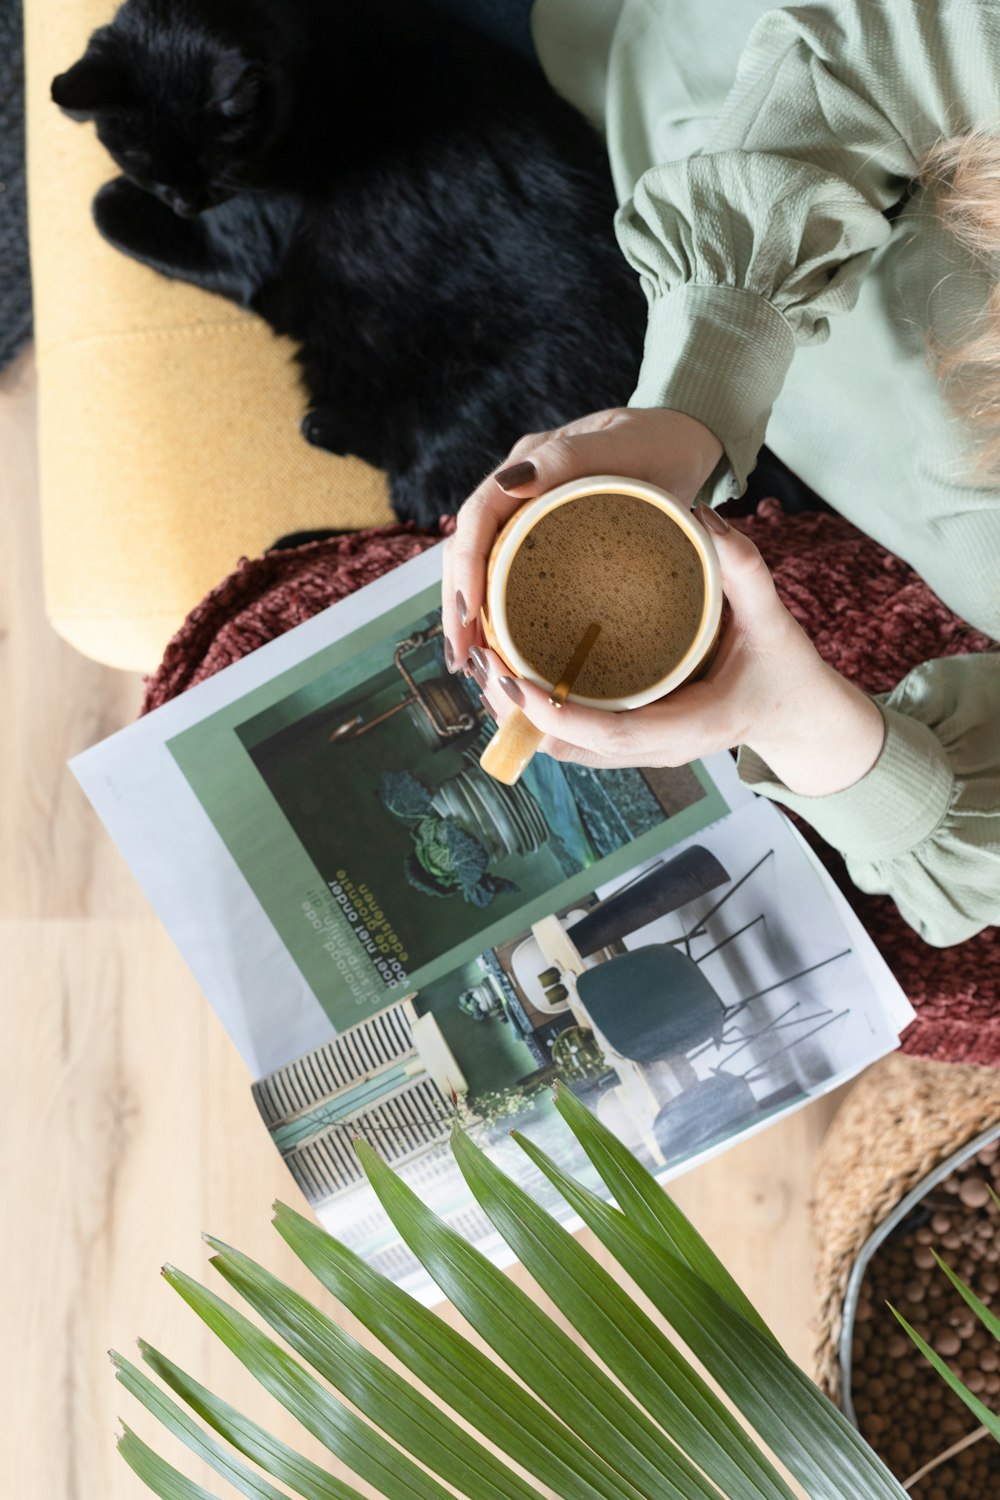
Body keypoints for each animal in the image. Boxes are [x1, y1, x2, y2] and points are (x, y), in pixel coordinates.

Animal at [54, 0, 644, 528]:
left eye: (219, 172)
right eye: (141, 161)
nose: (184, 203)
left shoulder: (243, 250)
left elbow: (101, 209)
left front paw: (116, 200)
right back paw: (323, 424)